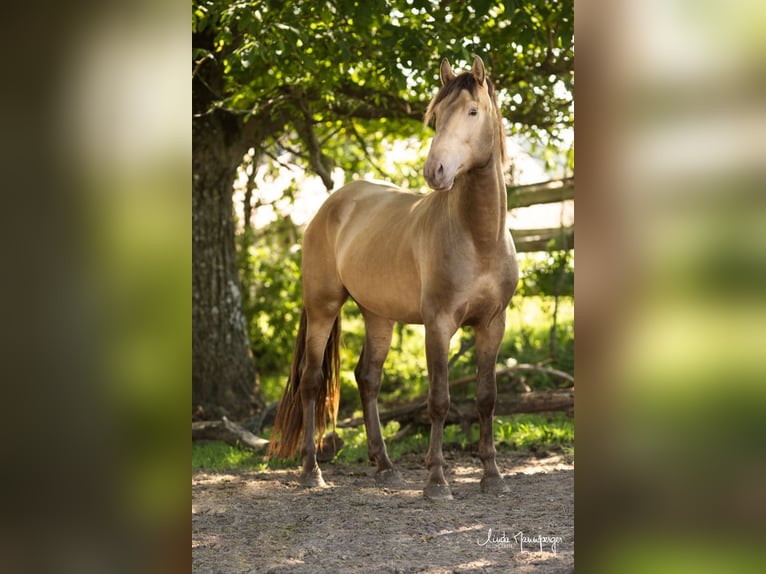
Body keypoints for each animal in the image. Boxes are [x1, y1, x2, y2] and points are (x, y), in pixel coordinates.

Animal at [269, 56, 518, 500]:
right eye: (436, 116)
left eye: (473, 112)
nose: (435, 171)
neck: (479, 238)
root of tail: (330, 205)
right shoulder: (438, 324)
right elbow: (439, 400)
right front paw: (437, 481)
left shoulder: (493, 323)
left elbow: (487, 398)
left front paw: (492, 475)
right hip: (322, 307)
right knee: (311, 382)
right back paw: (311, 472)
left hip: (378, 315)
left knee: (368, 379)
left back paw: (384, 466)